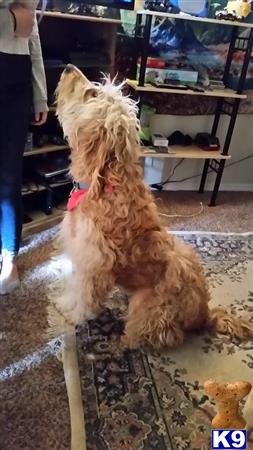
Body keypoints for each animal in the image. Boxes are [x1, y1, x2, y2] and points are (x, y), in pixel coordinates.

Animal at [52, 65, 252, 350]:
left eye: (92, 93)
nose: (68, 67)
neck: (107, 182)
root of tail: (205, 312)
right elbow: (74, 288)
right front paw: (64, 304)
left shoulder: (93, 269)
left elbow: (83, 297)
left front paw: (72, 315)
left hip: (149, 308)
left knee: (157, 335)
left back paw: (122, 344)